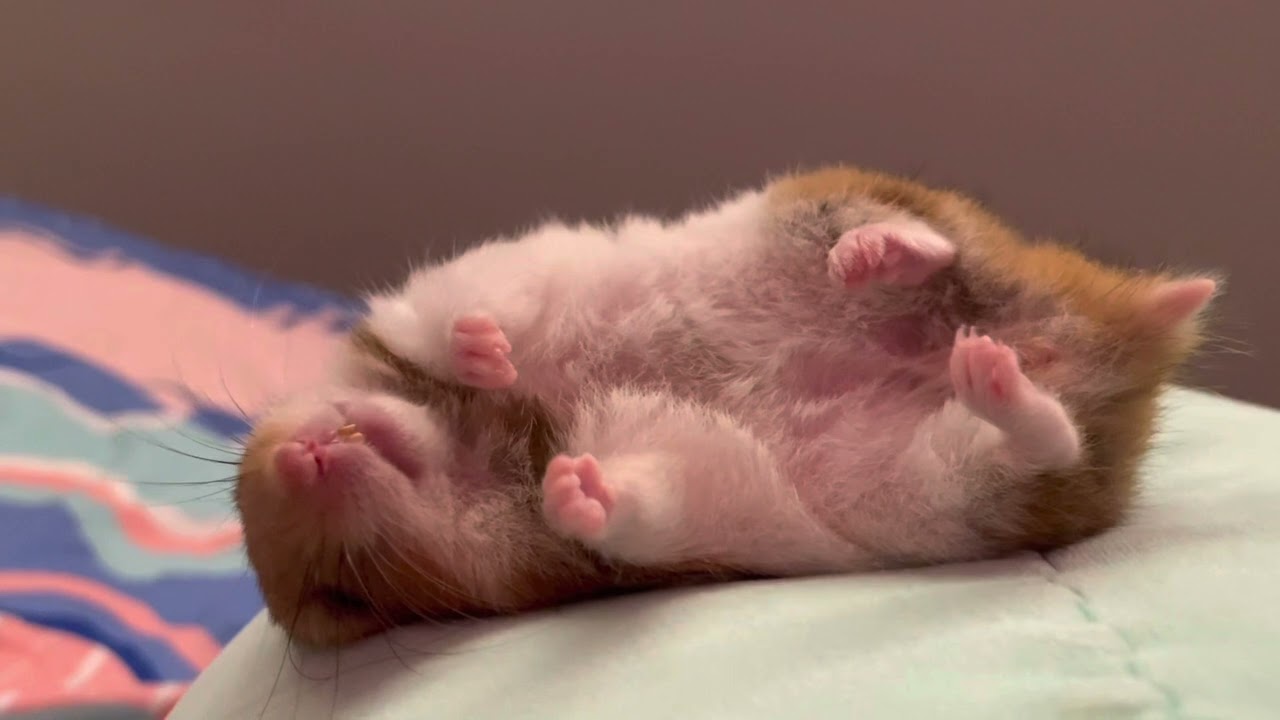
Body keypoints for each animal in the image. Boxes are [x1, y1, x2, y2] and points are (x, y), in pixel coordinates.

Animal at [234, 165, 1217, 647]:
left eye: (248, 448)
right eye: (342, 600)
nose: (304, 457)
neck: (505, 440)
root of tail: (1129, 337)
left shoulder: (418, 305)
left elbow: (451, 317)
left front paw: (488, 350)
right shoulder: (634, 533)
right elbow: (628, 501)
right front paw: (574, 487)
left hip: (827, 201)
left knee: (925, 238)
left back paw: (876, 259)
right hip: (957, 487)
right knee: (1042, 437)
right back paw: (988, 371)